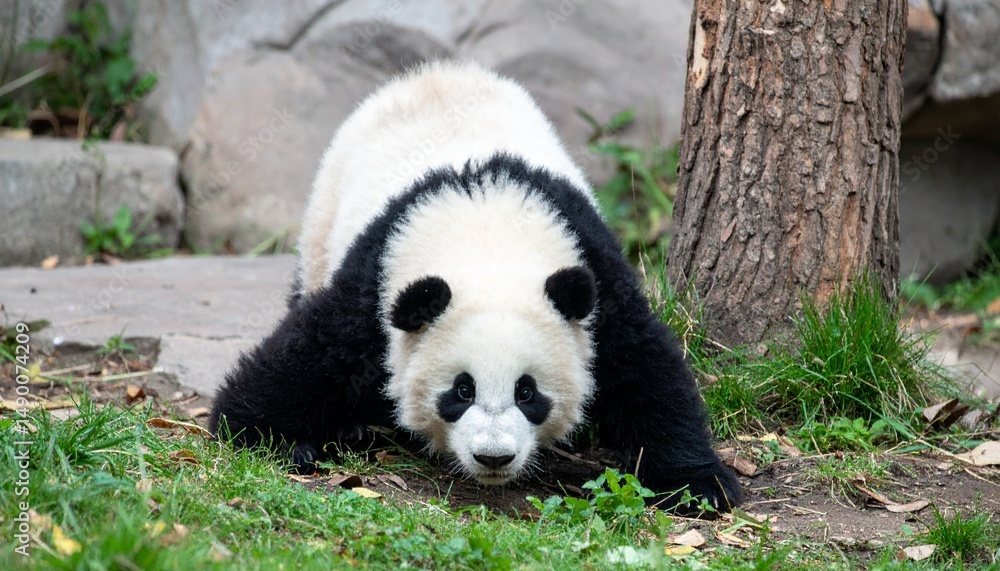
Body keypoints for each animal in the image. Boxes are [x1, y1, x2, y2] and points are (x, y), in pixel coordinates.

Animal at [209, 61, 742, 513]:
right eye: (461, 390)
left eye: (527, 392)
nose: (493, 457)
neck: (485, 224)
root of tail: (435, 73)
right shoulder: (376, 277)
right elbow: (309, 355)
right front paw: (271, 436)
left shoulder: (592, 267)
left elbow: (644, 368)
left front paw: (698, 485)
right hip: (324, 218)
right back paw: (352, 427)